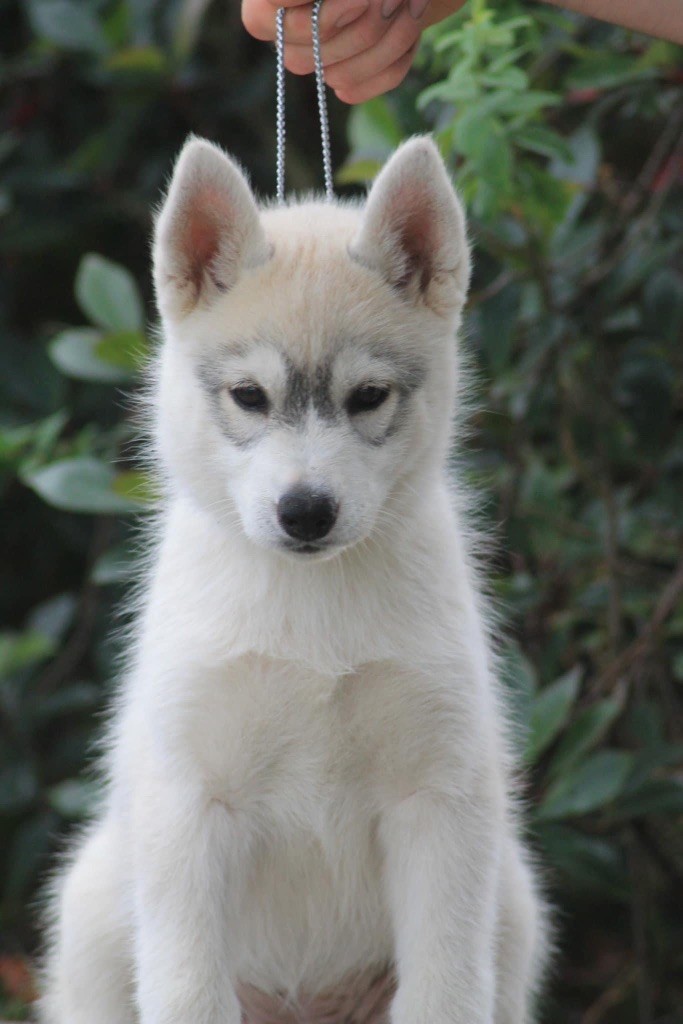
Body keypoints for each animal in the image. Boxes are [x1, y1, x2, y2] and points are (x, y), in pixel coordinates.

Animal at [37, 136, 548, 1024]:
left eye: (368, 396)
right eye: (249, 395)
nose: (304, 512)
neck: (312, 616)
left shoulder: (439, 802)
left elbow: (443, 989)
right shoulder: (191, 804)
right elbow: (188, 994)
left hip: (512, 911)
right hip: (93, 912)